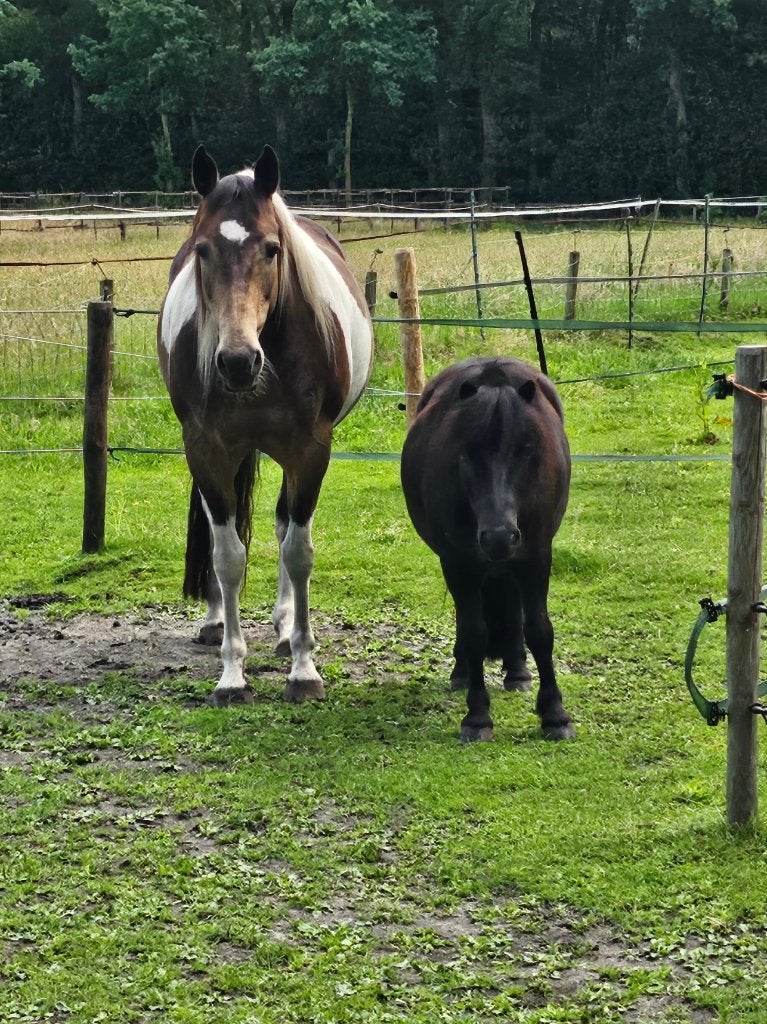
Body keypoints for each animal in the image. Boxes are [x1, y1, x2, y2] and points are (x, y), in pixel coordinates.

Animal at [158, 144, 374, 706]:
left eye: (273, 249)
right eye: (203, 251)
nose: (236, 362)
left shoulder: (310, 449)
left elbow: (298, 550)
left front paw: (303, 667)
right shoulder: (207, 448)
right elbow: (227, 555)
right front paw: (232, 674)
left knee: (281, 525)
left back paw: (283, 626)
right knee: (223, 529)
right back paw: (216, 620)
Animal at [400, 356, 574, 742]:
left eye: (526, 450)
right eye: (466, 453)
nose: (499, 536)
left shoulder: (536, 556)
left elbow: (540, 630)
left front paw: (554, 714)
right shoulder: (459, 563)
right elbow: (474, 632)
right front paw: (477, 716)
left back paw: (518, 670)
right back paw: (463, 671)